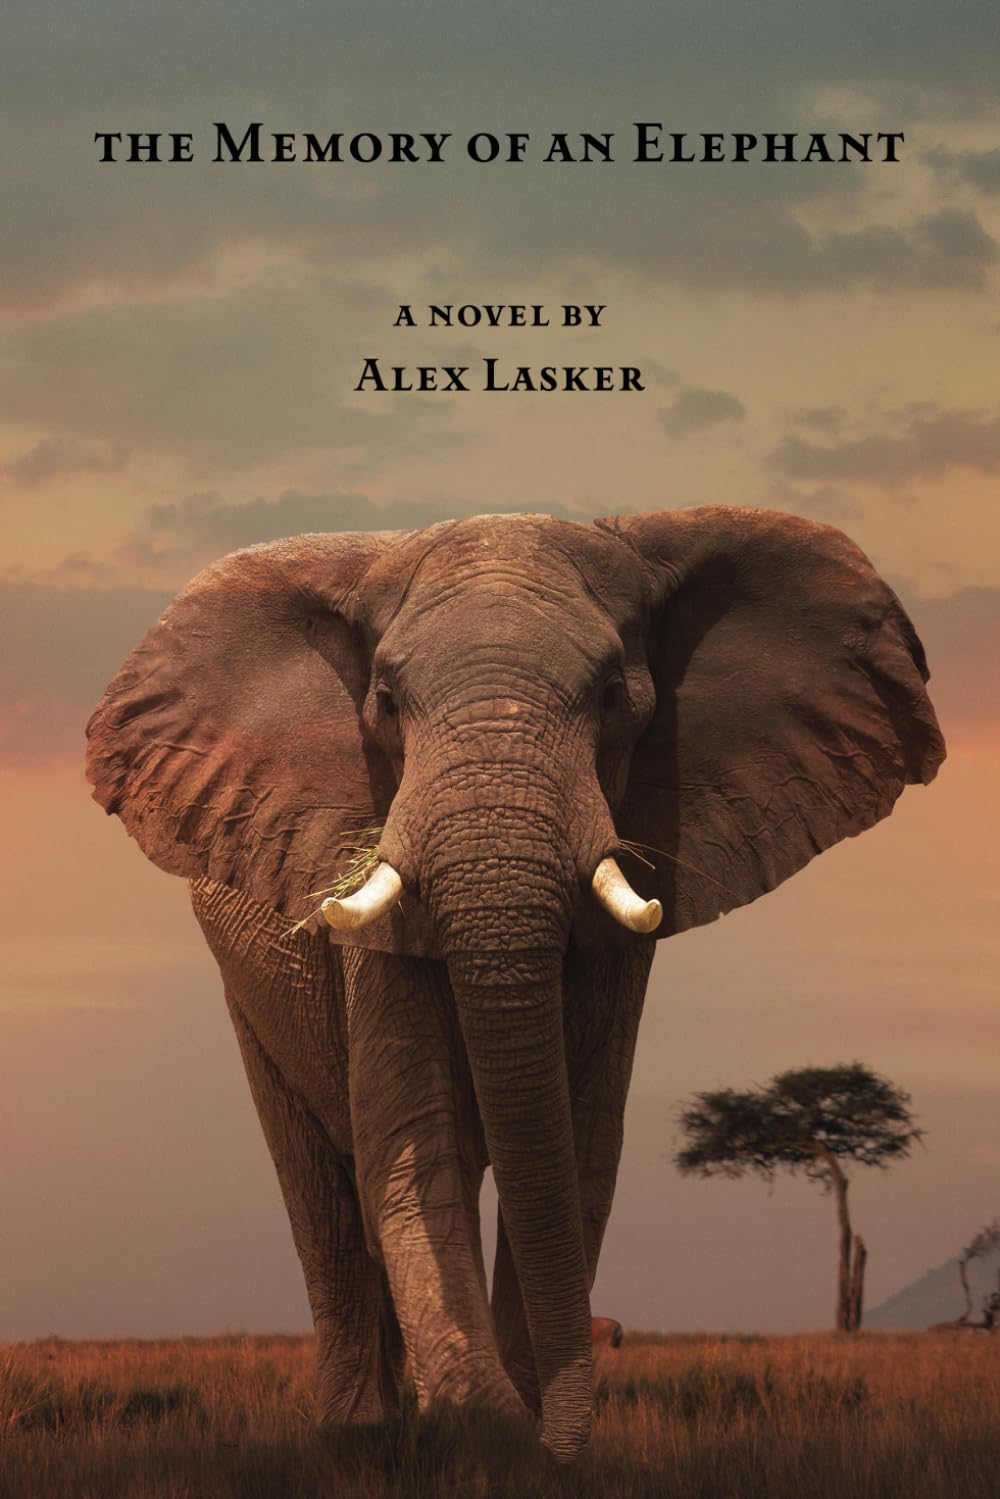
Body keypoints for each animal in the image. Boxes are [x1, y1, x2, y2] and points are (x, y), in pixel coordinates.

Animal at [86, 507, 944, 1459]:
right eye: (387, 701)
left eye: (612, 696)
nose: (555, 1441)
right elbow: (417, 1139)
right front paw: (480, 1428)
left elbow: (578, 1146)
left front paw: (519, 1439)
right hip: (249, 985)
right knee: (325, 1192)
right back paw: (363, 1435)